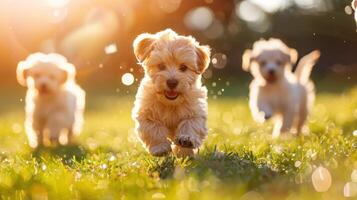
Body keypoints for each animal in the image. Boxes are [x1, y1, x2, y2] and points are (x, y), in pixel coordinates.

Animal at [131, 28, 210, 157]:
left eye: (183, 67)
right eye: (161, 66)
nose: (172, 82)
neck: (170, 103)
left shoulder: (195, 112)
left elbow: (190, 124)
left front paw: (186, 141)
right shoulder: (146, 113)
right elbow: (153, 129)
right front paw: (160, 148)